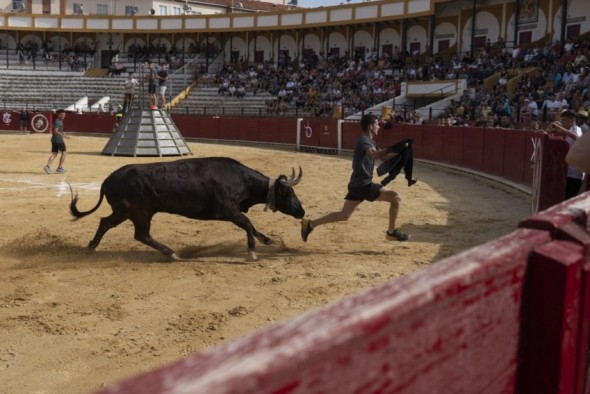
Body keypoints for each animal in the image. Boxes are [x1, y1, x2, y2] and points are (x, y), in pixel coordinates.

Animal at [70, 155, 306, 260]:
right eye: (289, 193)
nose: (301, 211)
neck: (241, 179)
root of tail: (109, 178)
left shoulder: (232, 211)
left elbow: (252, 226)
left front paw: (269, 241)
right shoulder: (226, 210)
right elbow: (248, 224)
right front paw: (252, 252)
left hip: (124, 211)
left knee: (106, 223)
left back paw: (91, 246)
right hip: (140, 212)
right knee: (141, 234)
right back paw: (172, 253)